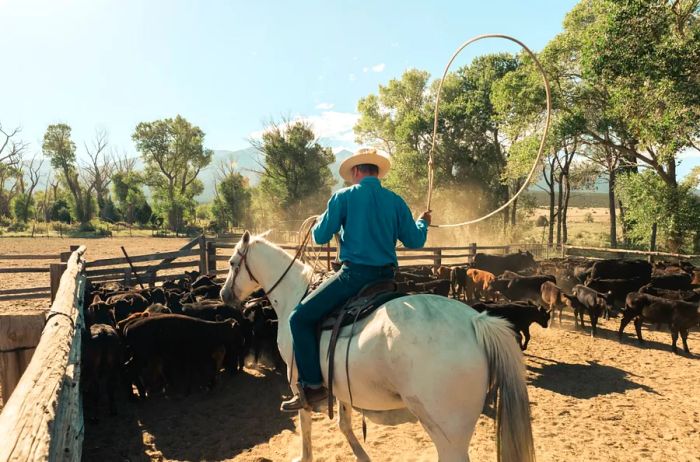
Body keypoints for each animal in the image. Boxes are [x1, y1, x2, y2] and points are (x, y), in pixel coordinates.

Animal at [221, 231, 532, 462]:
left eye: (233, 263)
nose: (224, 294)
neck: (295, 294)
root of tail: (476, 322)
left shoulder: (296, 377)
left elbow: (305, 421)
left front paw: (305, 455)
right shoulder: (339, 384)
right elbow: (344, 423)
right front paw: (362, 455)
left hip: (448, 433)